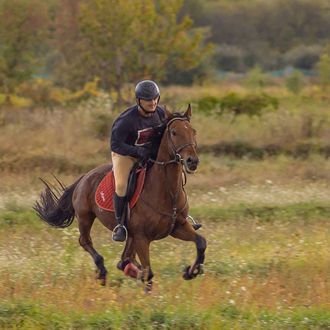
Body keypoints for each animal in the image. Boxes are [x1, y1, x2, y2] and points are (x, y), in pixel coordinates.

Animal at [34, 105, 208, 292]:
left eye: (193, 131)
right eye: (174, 132)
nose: (192, 161)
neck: (167, 192)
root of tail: (84, 177)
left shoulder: (178, 227)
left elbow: (201, 242)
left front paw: (191, 272)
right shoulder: (142, 237)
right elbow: (148, 273)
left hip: (128, 234)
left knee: (124, 259)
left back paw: (128, 270)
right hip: (85, 217)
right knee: (86, 241)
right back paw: (102, 272)